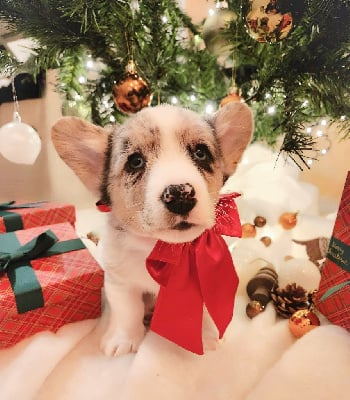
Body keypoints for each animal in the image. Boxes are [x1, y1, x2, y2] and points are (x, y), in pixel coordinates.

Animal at [52, 102, 253, 356]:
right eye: (135, 161)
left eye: (200, 153)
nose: (180, 195)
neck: (163, 249)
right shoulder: (120, 284)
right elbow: (128, 312)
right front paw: (123, 340)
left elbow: (207, 313)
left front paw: (207, 336)